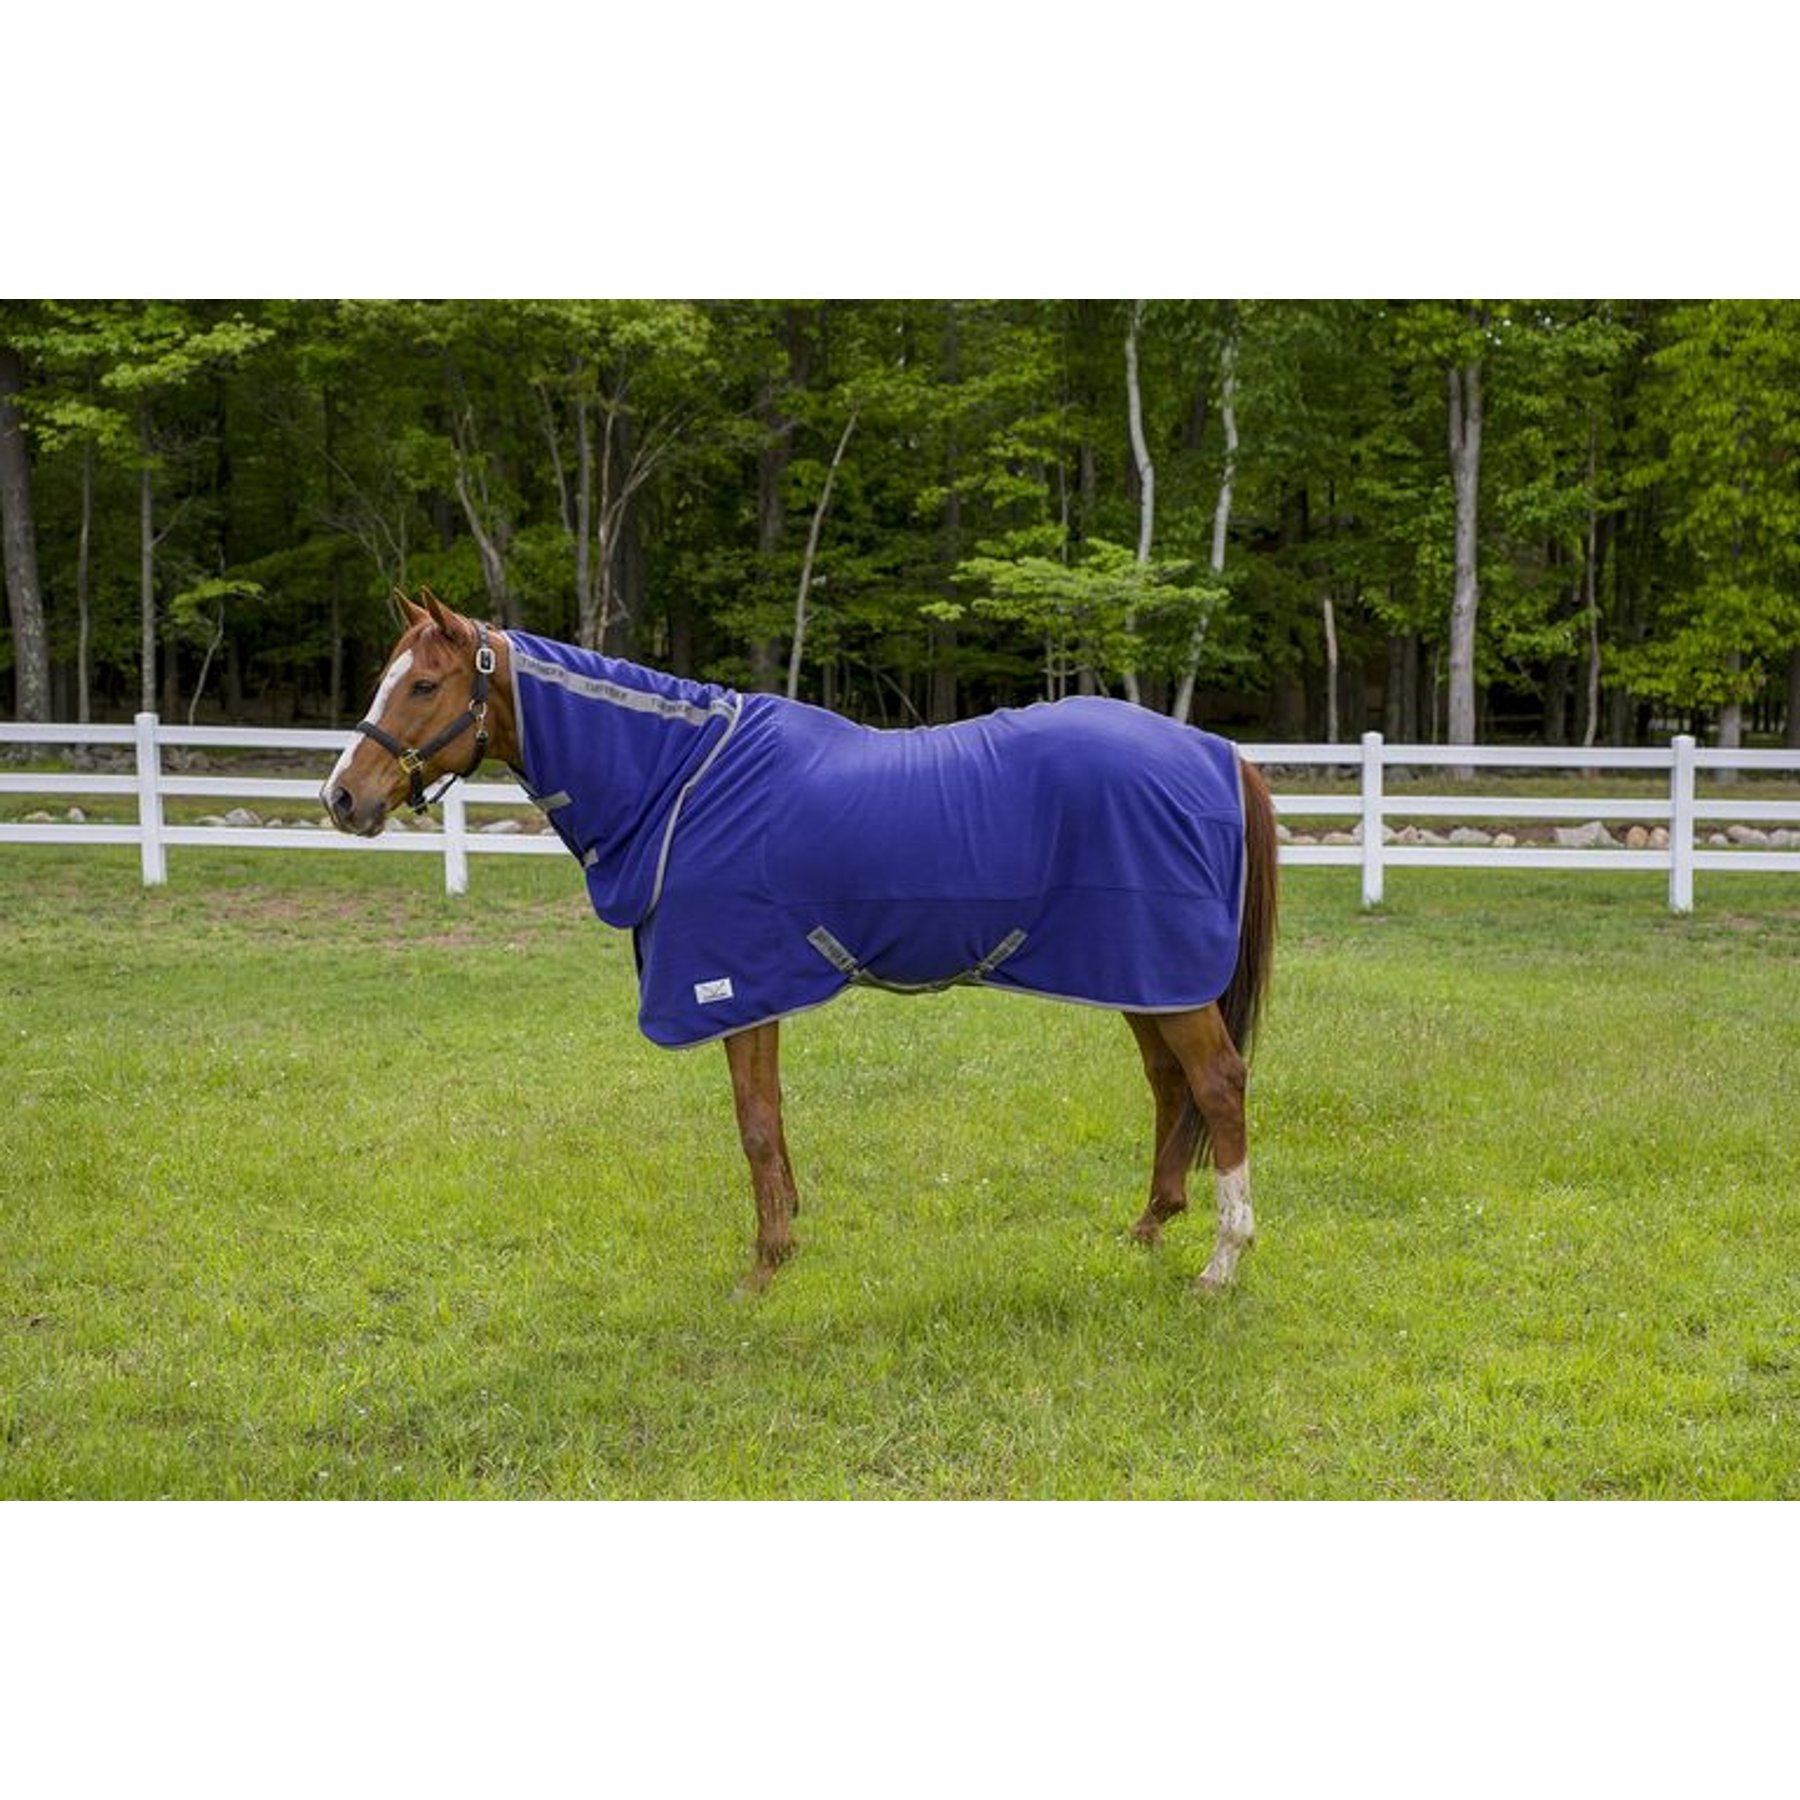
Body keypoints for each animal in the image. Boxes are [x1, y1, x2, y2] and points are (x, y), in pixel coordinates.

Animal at [322, 589, 1278, 1296]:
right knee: (1169, 1084)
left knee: (1218, 1084)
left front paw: (763, 1268)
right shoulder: (756, 988)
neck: (680, 783)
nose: (341, 797)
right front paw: (785, 1243)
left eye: (422, 686)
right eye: (386, 679)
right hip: (1141, 974)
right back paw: (1149, 1225)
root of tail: (1215, 749)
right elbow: (770, 1120)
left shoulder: (731, 985)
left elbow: (752, 1124)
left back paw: (1223, 1262)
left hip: (1164, 974)